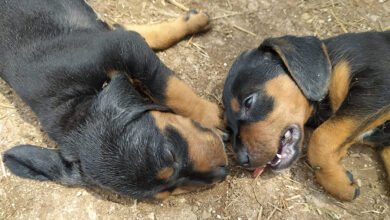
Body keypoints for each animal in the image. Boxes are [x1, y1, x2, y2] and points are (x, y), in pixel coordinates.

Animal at [0, 0, 229, 199]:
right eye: (170, 191)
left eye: (170, 153)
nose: (222, 172)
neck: (75, 99)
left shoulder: (120, 47)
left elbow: (166, 85)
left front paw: (209, 117)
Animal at [222, 31, 390, 201]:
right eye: (229, 126)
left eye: (248, 102)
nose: (242, 160)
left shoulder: (376, 87)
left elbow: (321, 136)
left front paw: (339, 184)